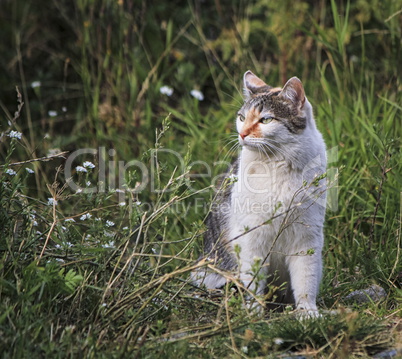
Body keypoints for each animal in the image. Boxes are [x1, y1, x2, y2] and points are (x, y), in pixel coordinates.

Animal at [192, 70, 326, 316]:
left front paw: (308, 312)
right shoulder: (252, 238)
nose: (243, 134)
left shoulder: (307, 237)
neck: (278, 164)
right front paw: (254, 313)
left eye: (266, 120)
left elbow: (306, 280)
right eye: (242, 117)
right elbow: (254, 281)